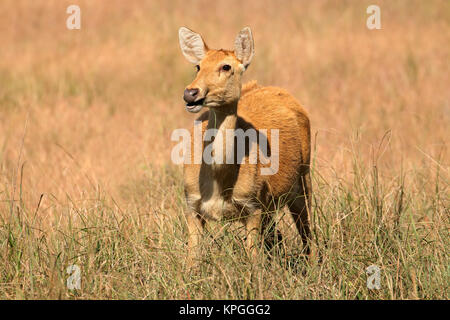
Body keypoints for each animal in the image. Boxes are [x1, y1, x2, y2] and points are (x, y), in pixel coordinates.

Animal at [178, 26, 312, 264]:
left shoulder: (253, 205)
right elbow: (192, 260)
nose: (190, 93)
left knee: (307, 230)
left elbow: (254, 260)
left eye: (226, 66)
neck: (219, 181)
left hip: (304, 176)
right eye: (198, 66)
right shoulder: (191, 204)